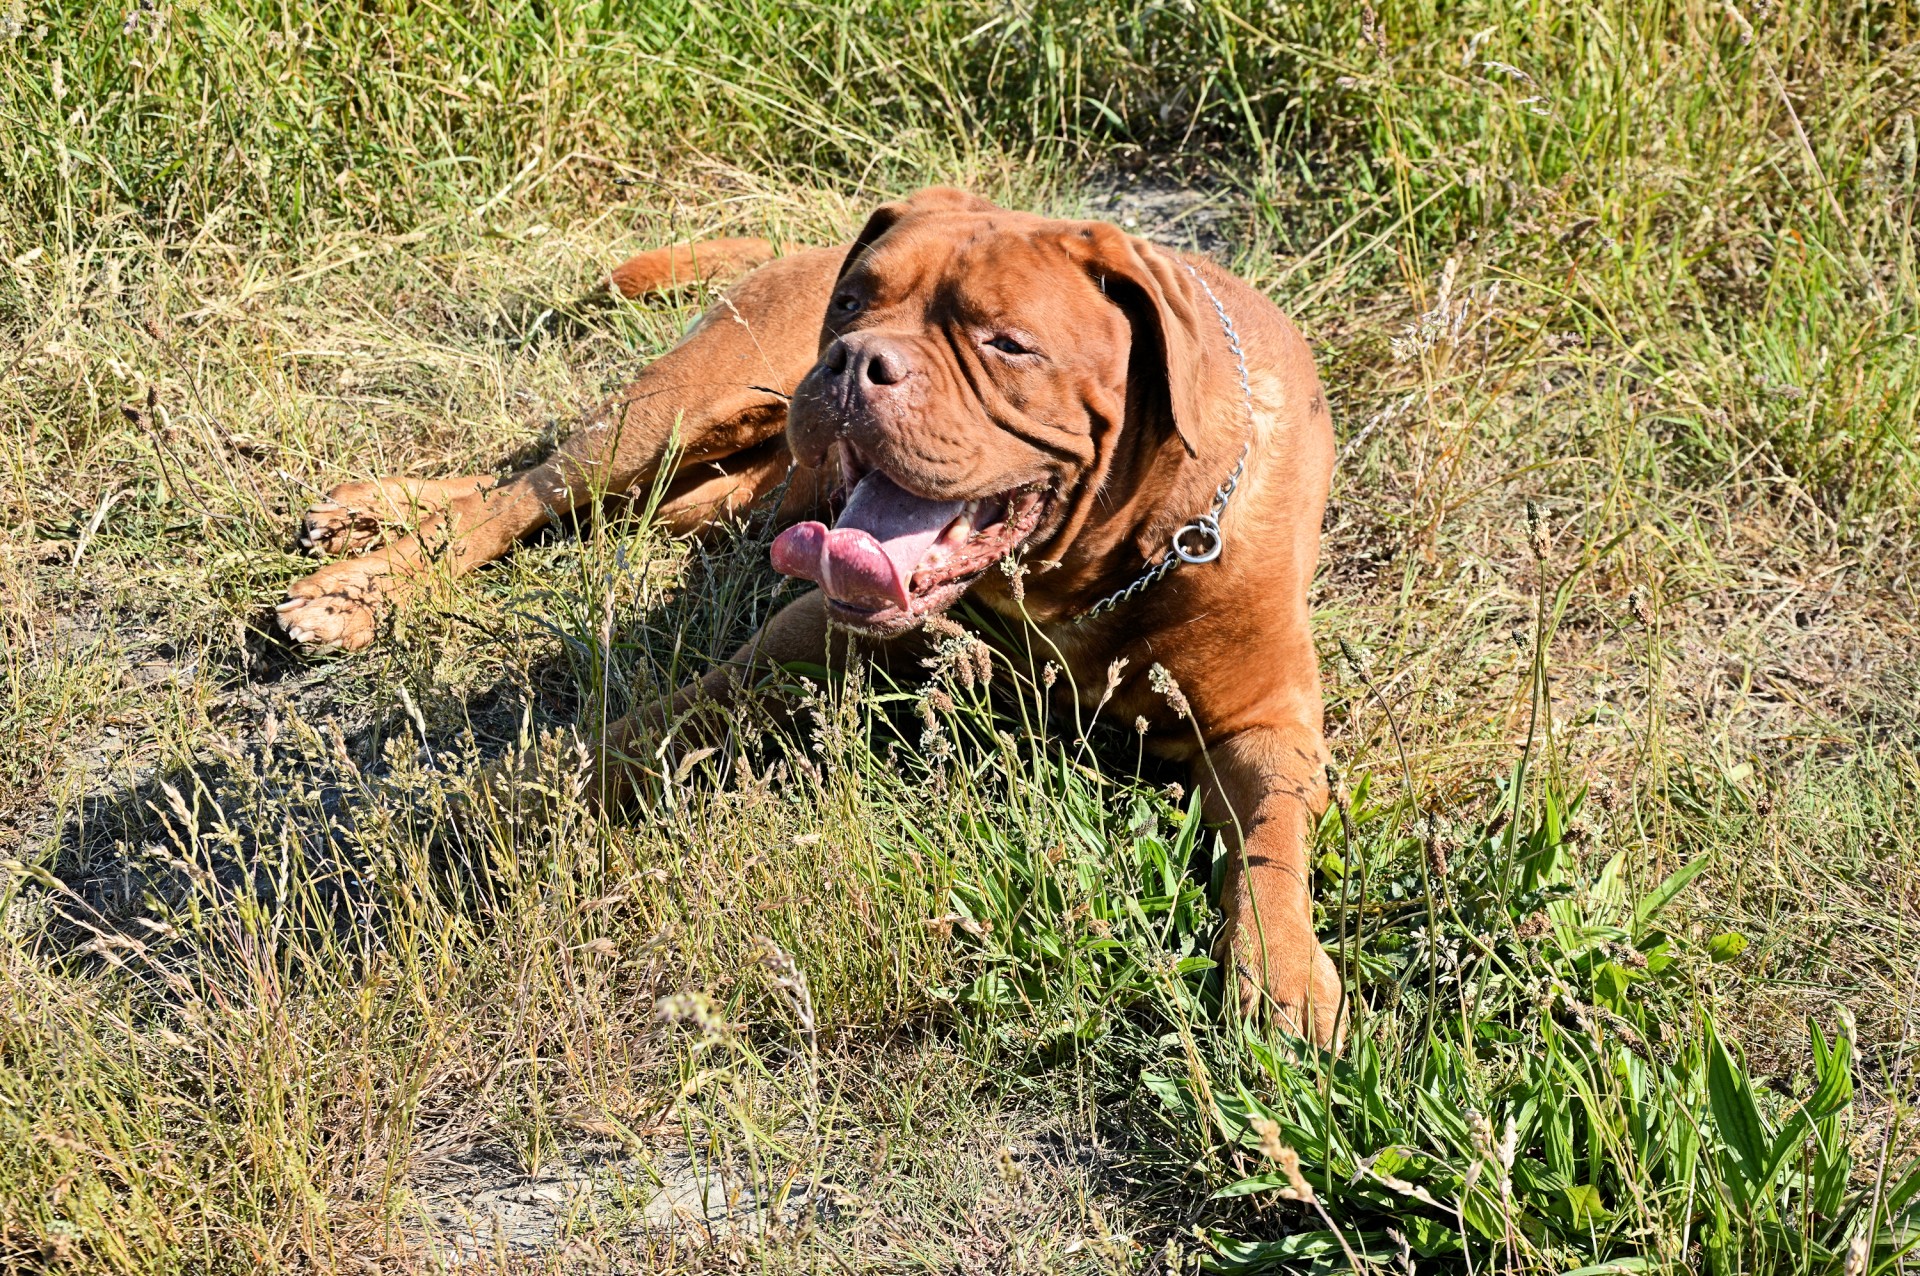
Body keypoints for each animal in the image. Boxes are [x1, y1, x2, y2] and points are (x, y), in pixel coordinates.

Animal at [278, 191, 1344, 1043]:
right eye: (855, 302)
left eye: (1005, 342)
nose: (853, 358)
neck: (1078, 582)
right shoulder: (806, 635)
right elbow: (655, 720)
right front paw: (524, 794)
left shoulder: (1266, 727)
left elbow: (1269, 847)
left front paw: (1282, 973)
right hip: (670, 416)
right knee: (523, 493)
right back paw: (359, 585)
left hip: (710, 483)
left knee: (543, 494)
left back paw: (365, 517)